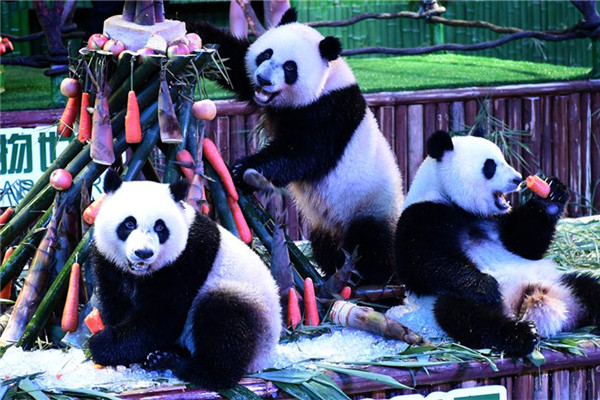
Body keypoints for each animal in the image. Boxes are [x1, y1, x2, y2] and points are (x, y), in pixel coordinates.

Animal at [88, 170, 282, 390]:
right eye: (129, 224)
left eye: (160, 227)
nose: (143, 253)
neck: (140, 273)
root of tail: (264, 357)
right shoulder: (109, 262)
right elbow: (115, 302)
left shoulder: (186, 259)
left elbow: (161, 316)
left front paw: (102, 344)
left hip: (248, 304)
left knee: (224, 322)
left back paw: (180, 364)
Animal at [192, 9, 404, 284]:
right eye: (266, 54)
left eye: (290, 67)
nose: (263, 80)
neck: (328, 79)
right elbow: (233, 61)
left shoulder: (330, 112)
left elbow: (304, 153)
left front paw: (241, 170)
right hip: (326, 224)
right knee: (326, 245)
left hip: (370, 204)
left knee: (372, 245)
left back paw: (376, 279)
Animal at [394, 131, 600, 356]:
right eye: (490, 166)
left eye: (504, 158)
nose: (518, 179)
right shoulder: (422, 216)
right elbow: (424, 264)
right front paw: (485, 285)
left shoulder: (496, 222)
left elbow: (526, 243)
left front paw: (551, 197)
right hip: (456, 300)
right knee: (467, 316)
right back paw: (522, 333)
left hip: (560, 281)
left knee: (589, 287)